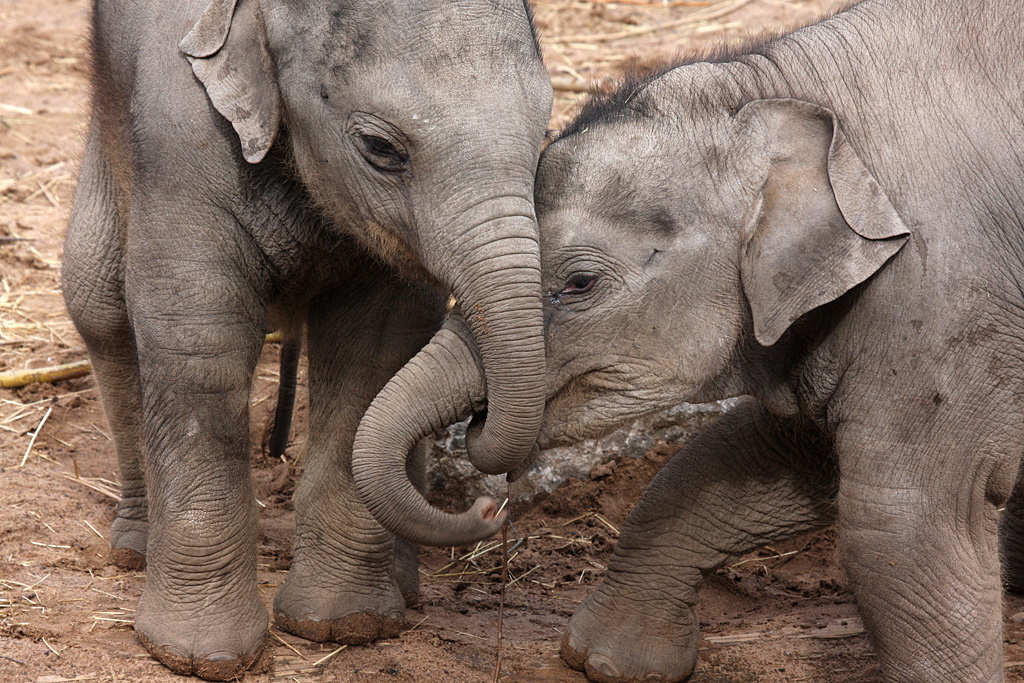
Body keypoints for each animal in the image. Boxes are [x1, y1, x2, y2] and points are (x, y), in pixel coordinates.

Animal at [60, 0, 551, 678]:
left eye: (543, 141)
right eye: (380, 148)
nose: (488, 508)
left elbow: (377, 348)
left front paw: (344, 624)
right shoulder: (180, 138)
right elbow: (198, 338)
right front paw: (198, 656)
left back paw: (402, 587)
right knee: (99, 303)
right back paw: (134, 550)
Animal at [349, 0, 1024, 680]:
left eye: (579, 283)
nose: (492, 510)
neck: (789, 89)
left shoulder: (943, 301)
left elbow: (903, 526)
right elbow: (754, 457)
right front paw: (607, 662)